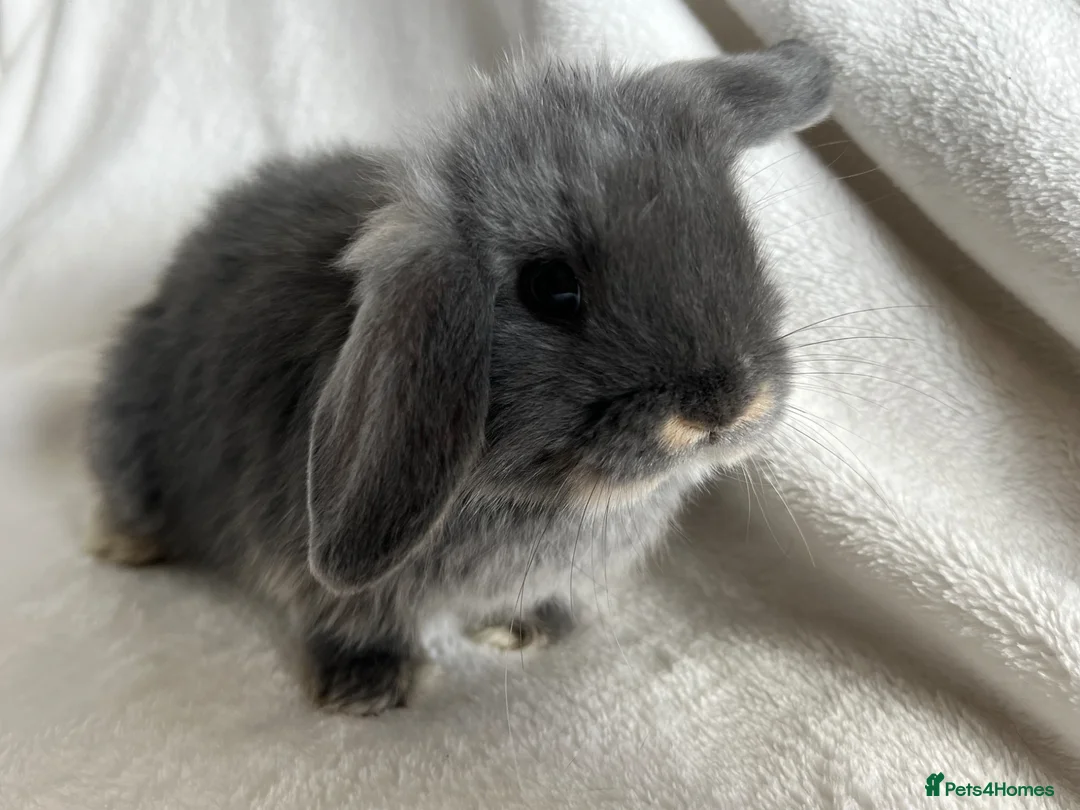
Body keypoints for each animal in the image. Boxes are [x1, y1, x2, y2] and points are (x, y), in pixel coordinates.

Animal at [85, 40, 832, 715]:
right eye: (551, 287)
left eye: (736, 237)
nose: (727, 406)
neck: (549, 498)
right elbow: (346, 610)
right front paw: (366, 687)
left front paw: (532, 628)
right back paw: (129, 545)